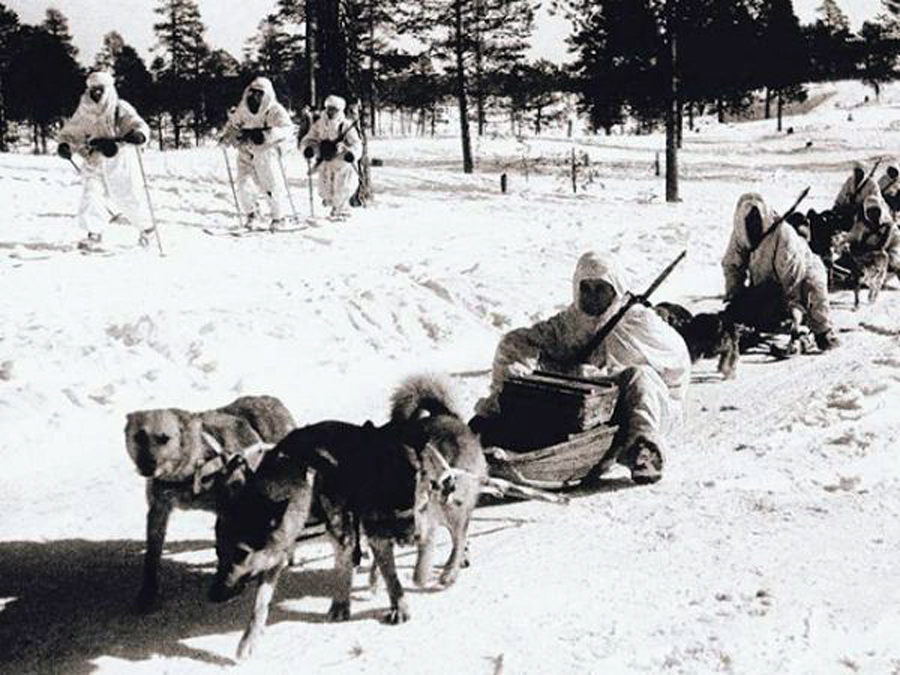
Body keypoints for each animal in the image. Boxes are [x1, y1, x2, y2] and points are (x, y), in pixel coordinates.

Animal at [124, 395, 295, 611]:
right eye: (138, 437)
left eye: (164, 438)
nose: (147, 466)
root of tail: (271, 400)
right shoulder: (158, 511)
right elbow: (152, 557)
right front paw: (147, 594)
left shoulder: (228, 509)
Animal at [208, 375, 487, 660]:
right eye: (219, 550)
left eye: (241, 553)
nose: (214, 595)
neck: (303, 471)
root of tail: (448, 416)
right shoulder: (280, 551)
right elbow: (260, 604)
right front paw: (248, 640)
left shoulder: (349, 533)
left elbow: (348, 571)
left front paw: (352, 604)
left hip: (441, 510)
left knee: (455, 534)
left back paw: (447, 570)